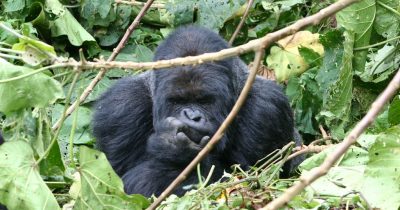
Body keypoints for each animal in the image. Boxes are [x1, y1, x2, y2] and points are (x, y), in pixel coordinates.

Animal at [92, 25, 300, 197]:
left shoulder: (267, 107)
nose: (192, 116)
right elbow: (118, 180)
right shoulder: (120, 107)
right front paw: (172, 145)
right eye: (178, 101)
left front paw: (173, 148)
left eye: (204, 101)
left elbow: (250, 177)